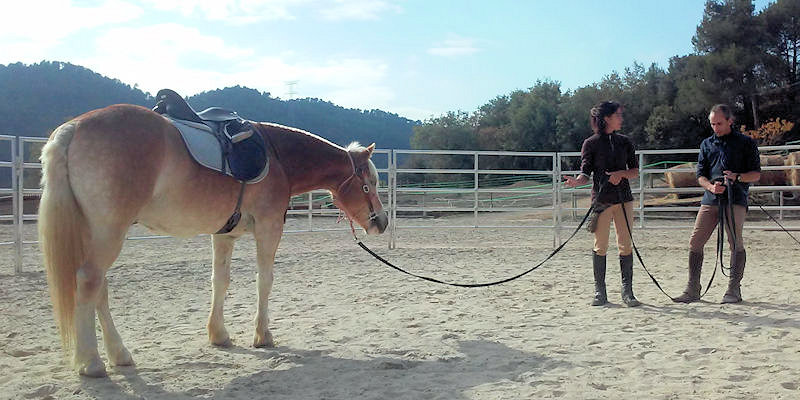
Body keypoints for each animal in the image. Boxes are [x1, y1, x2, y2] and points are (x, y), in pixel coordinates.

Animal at [39, 102, 390, 376]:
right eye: (369, 183)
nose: (382, 222)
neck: (277, 157)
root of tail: (72, 128)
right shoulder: (268, 229)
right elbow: (265, 281)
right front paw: (262, 335)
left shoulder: (225, 236)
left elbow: (220, 281)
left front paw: (219, 335)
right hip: (108, 233)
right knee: (88, 281)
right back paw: (91, 362)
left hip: (95, 235)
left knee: (99, 288)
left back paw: (119, 355)